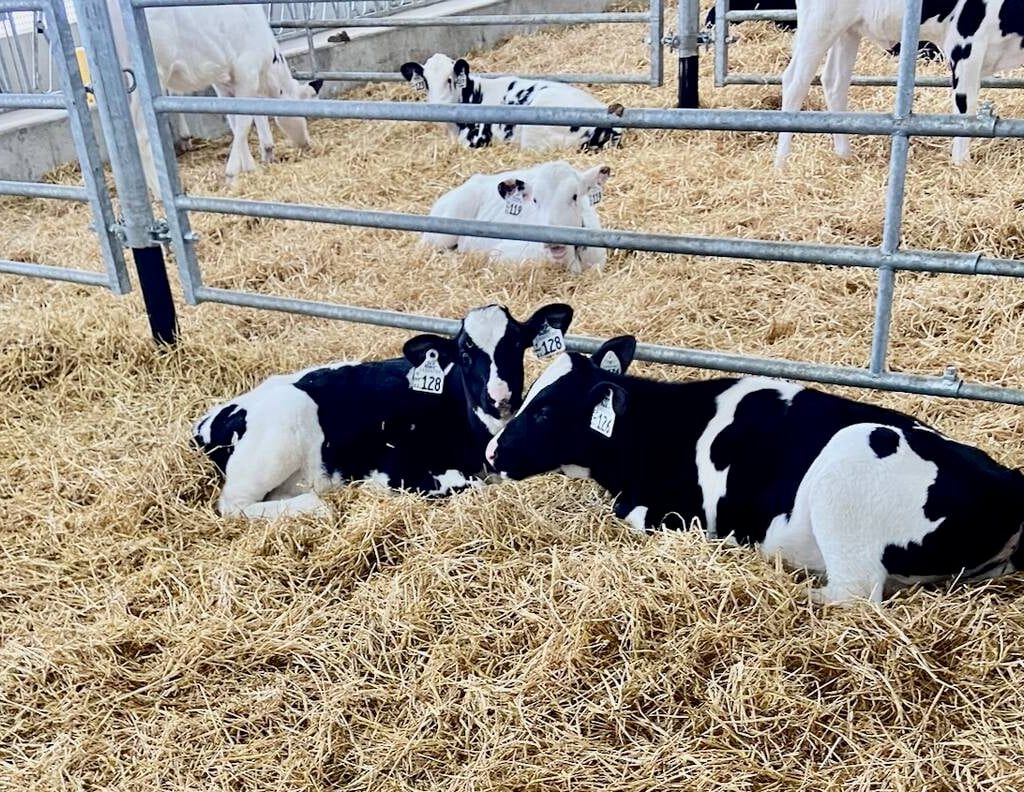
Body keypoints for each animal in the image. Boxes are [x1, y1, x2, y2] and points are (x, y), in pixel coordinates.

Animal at [106, 1, 323, 188]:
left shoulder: (223, 83)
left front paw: (249, 167)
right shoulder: (246, 73)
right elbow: (244, 123)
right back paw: (158, 191)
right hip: (153, 71)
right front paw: (233, 174)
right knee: (141, 133)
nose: (306, 144)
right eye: (304, 114)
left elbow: (234, 121)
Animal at [193, 302, 574, 519]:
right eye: (466, 352)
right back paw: (317, 508)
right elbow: (469, 486)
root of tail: (208, 420)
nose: (500, 397)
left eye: (516, 344)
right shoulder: (398, 469)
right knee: (233, 506)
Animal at [485, 336, 1024, 604]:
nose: (490, 453)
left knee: (854, 591)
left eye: (544, 412)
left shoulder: (679, 514)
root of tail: (1007, 482)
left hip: (849, 469)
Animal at [775, 0, 1024, 167]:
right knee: (795, 81)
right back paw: (782, 163)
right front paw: (961, 164)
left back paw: (845, 155)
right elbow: (965, 110)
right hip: (820, 20)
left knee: (834, 81)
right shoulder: (965, 44)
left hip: (848, 27)